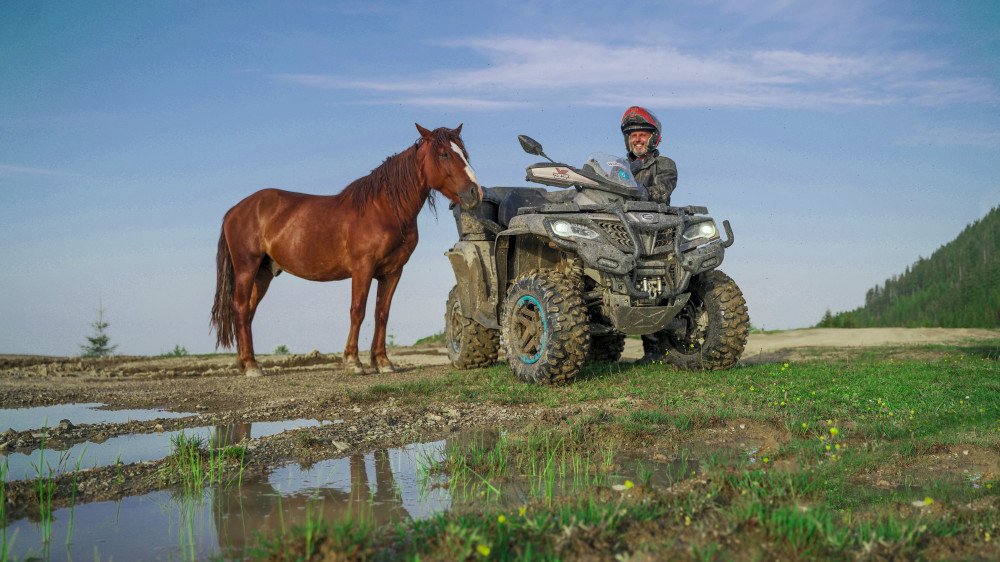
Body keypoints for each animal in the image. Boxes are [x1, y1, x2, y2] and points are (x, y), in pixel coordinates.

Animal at [210, 123, 480, 376]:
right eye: (444, 154)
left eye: (465, 154)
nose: (474, 192)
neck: (384, 209)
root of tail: (234, 210)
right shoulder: (362, 268)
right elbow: (357, 311)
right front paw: (353, 362)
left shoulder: (393, 272)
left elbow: (382, 313)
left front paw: (382, 362)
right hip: (247, 268)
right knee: (240, 309)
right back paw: (251, 366)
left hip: (263, 273)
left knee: (248, 313)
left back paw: (248, 364)